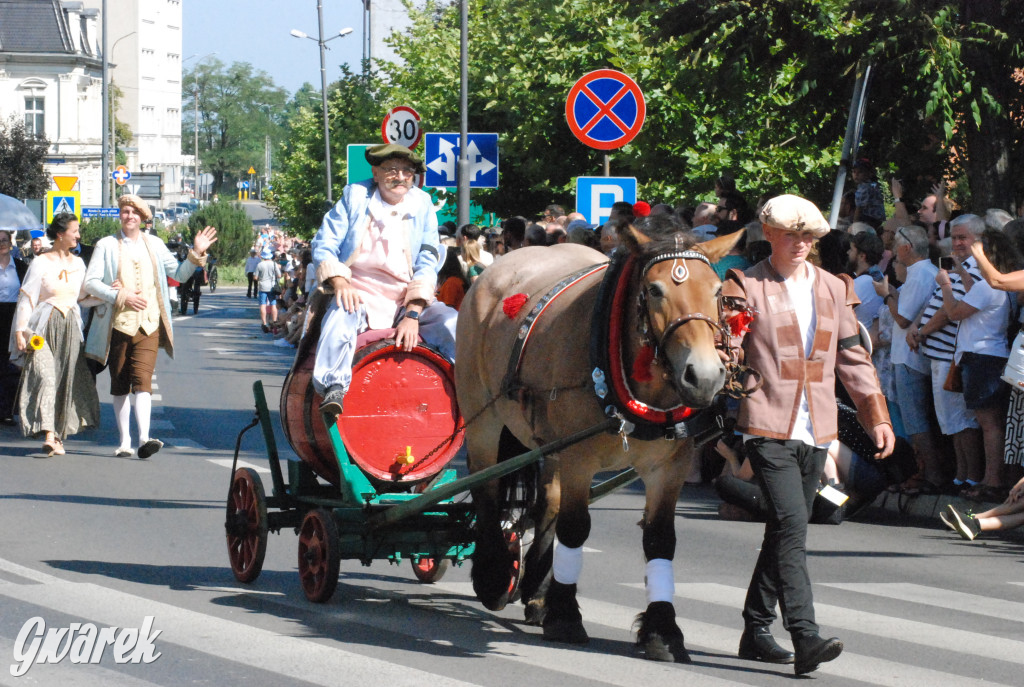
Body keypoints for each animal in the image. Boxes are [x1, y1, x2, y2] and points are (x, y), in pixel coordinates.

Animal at [456, 223, 745, 663]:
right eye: (655, 290)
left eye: (716, 291)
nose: (705, 376)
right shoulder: (579, 458)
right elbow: (575, 528)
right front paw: (564, 614)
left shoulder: (670, 468)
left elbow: (660, 539)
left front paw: (663, 630)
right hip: (483, 419)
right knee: (486, 487)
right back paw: (494, 575)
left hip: (548, 443)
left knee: (548, 501)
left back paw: (537, 590)